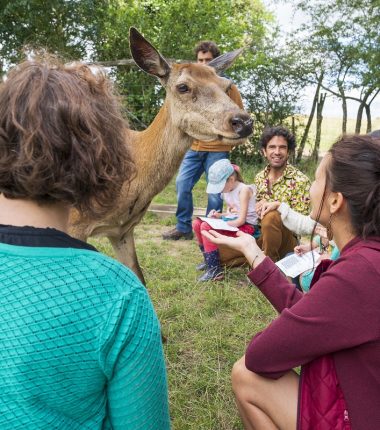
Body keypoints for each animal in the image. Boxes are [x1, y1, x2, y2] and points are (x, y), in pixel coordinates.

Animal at [70, 28, 254, 284]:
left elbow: (139, 276)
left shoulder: (122, 230)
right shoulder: (74, 223)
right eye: (183, 87)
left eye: (227, 86)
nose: (243, 122)